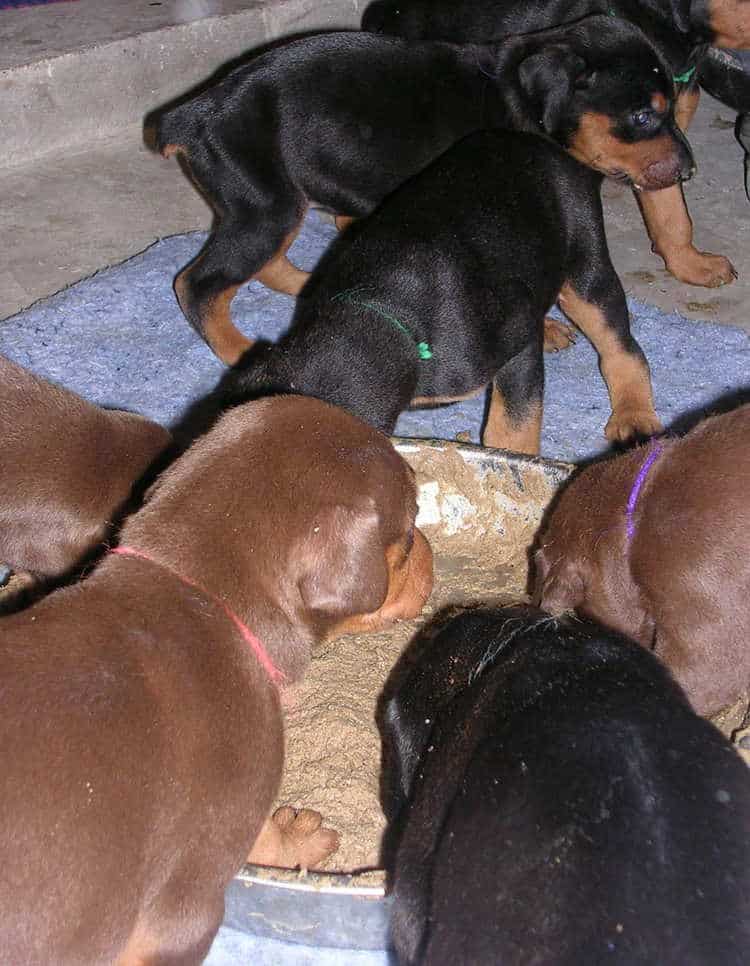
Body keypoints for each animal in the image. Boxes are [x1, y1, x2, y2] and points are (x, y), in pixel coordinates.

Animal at [156, 14, 696, 364]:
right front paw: (542, 328)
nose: (689, 170)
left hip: (277, 203)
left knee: (263, 264)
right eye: (642, 117)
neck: (519, 101)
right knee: (197, 284)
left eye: (672, 107)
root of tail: (194, 114)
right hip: (266, 204)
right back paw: (239, 351)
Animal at [219, 130, 664, 458]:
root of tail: (545, 145)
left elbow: (512, 424)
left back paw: (634, 416)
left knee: (618, 343)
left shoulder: (514, 345)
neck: (379, 309)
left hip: (584, 260)